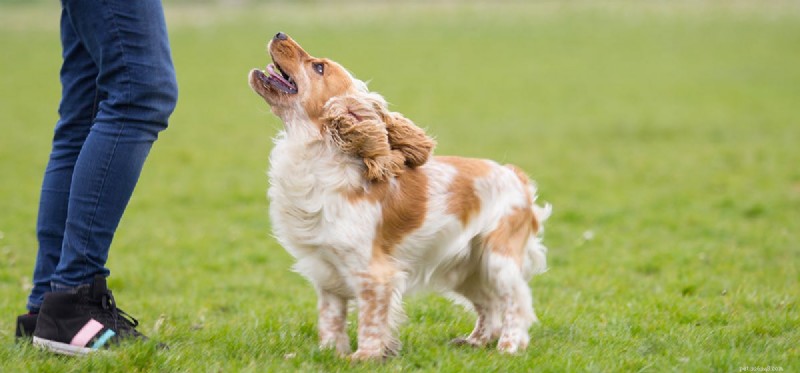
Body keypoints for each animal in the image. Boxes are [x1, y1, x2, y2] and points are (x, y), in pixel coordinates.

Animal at [248, 32, 552, 360]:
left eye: (319, 67)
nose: (279, 34)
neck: (317, 157)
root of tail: (515, 175)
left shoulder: (373, 274)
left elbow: (370, 323)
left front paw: (363, 358)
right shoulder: (327, 275)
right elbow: (330, 321)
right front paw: (330, 354)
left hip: (498, 261)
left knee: (516, 303)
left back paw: (509, 347)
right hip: (466, 270)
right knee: (490, 306)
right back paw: (475, 341)